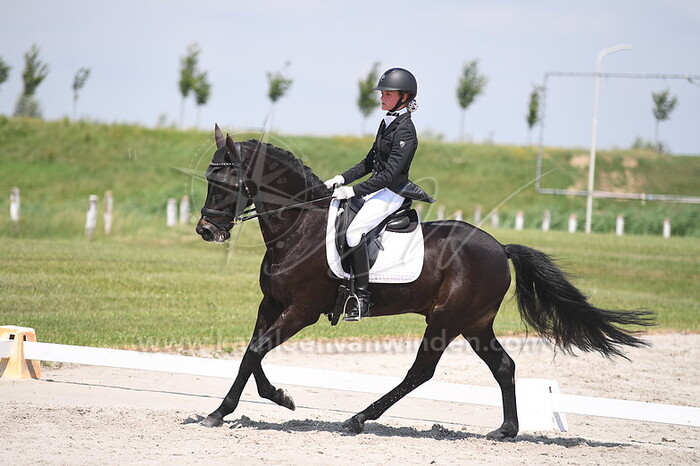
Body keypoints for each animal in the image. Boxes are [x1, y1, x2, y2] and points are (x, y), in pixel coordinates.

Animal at [194, 126, 654, 439]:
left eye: (226, 183)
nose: (205, 231)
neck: (299, 226)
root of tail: (499, 247)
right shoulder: (271, 304)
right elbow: (252, 354)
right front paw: (262, 401)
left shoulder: (302, 310)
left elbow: (256, 350)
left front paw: (237, 408)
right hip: (474, 323)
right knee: (503, 366)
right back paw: (505, 430)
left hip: (446, 321)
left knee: (421, 371)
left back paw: (358, 419)